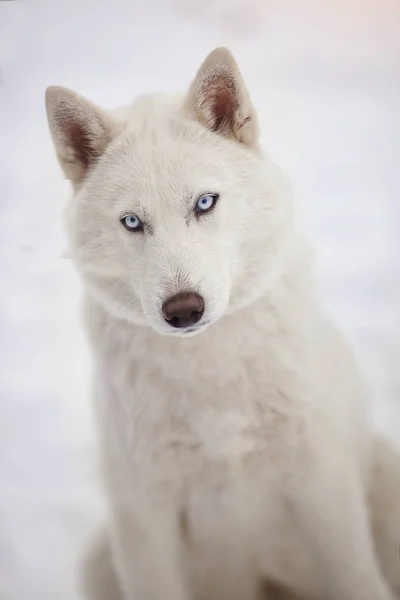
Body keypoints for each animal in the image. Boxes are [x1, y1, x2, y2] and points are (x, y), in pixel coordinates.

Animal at [45, 50, 398, 600]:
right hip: (101, 557)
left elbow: (355, 578)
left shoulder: (322, 488)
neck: (209, 376)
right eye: (132, 222)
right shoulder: (146, 518)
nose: (184, 310)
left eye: (204, 202)